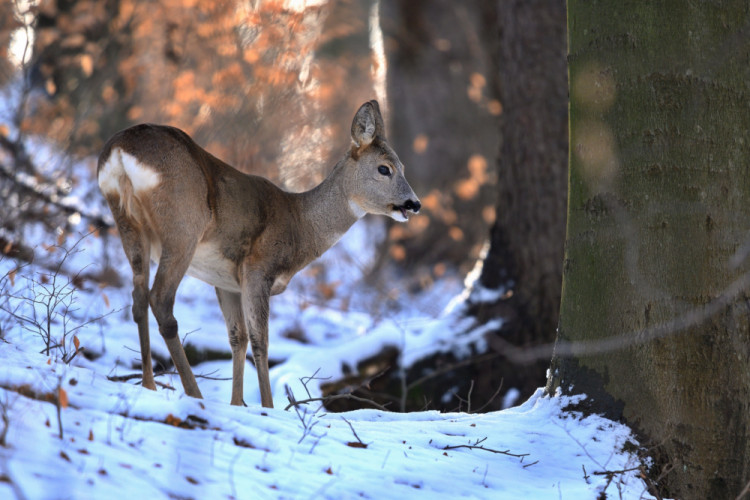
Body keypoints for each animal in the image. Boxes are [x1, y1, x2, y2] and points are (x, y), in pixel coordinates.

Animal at [97, 100, 420, 406]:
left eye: (404, 167)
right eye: (383, 168)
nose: (413, 203)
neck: (300, 227)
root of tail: (120, 150)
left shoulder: (226, 281)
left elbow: (237, 337)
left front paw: (237, 403)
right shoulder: (258, 268)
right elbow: (260, 341)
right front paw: (267, 406)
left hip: (128, 222)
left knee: (138, 298)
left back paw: (149, 385)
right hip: (183, 225)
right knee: (161, 300)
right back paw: (194, 393)